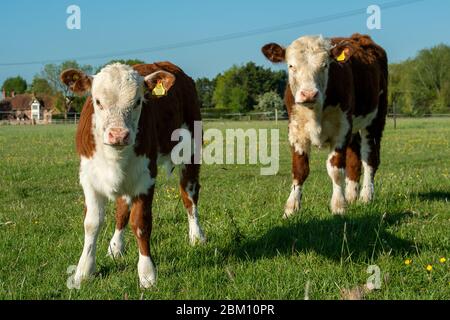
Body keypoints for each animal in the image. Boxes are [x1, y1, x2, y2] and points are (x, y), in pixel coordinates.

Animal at [60, 61, 205, 288]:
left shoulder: (146, 179)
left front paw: (147, 273)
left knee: (189, 198)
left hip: (191, 152)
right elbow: (92, 223)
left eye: (138, 101)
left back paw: (197, 236)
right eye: (97, 101)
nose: (118, 135)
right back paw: (115, 246)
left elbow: (141, 223)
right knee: (121, 210)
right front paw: (84, 270)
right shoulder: (88, 178)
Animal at [262, 33, 388, 218]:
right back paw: (351, 195)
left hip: (375, 119)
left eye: (325, 65)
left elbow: (336, 170)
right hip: (353, 129)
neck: (315, 112)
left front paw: (338, 206)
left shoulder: (341, 130)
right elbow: (299, 169)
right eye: (291, 65)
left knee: (370, 158)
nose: (308, 94)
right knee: (354, 160)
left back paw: (366, 196)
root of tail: (360, 37)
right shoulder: (296, 132)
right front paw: (291, 208)